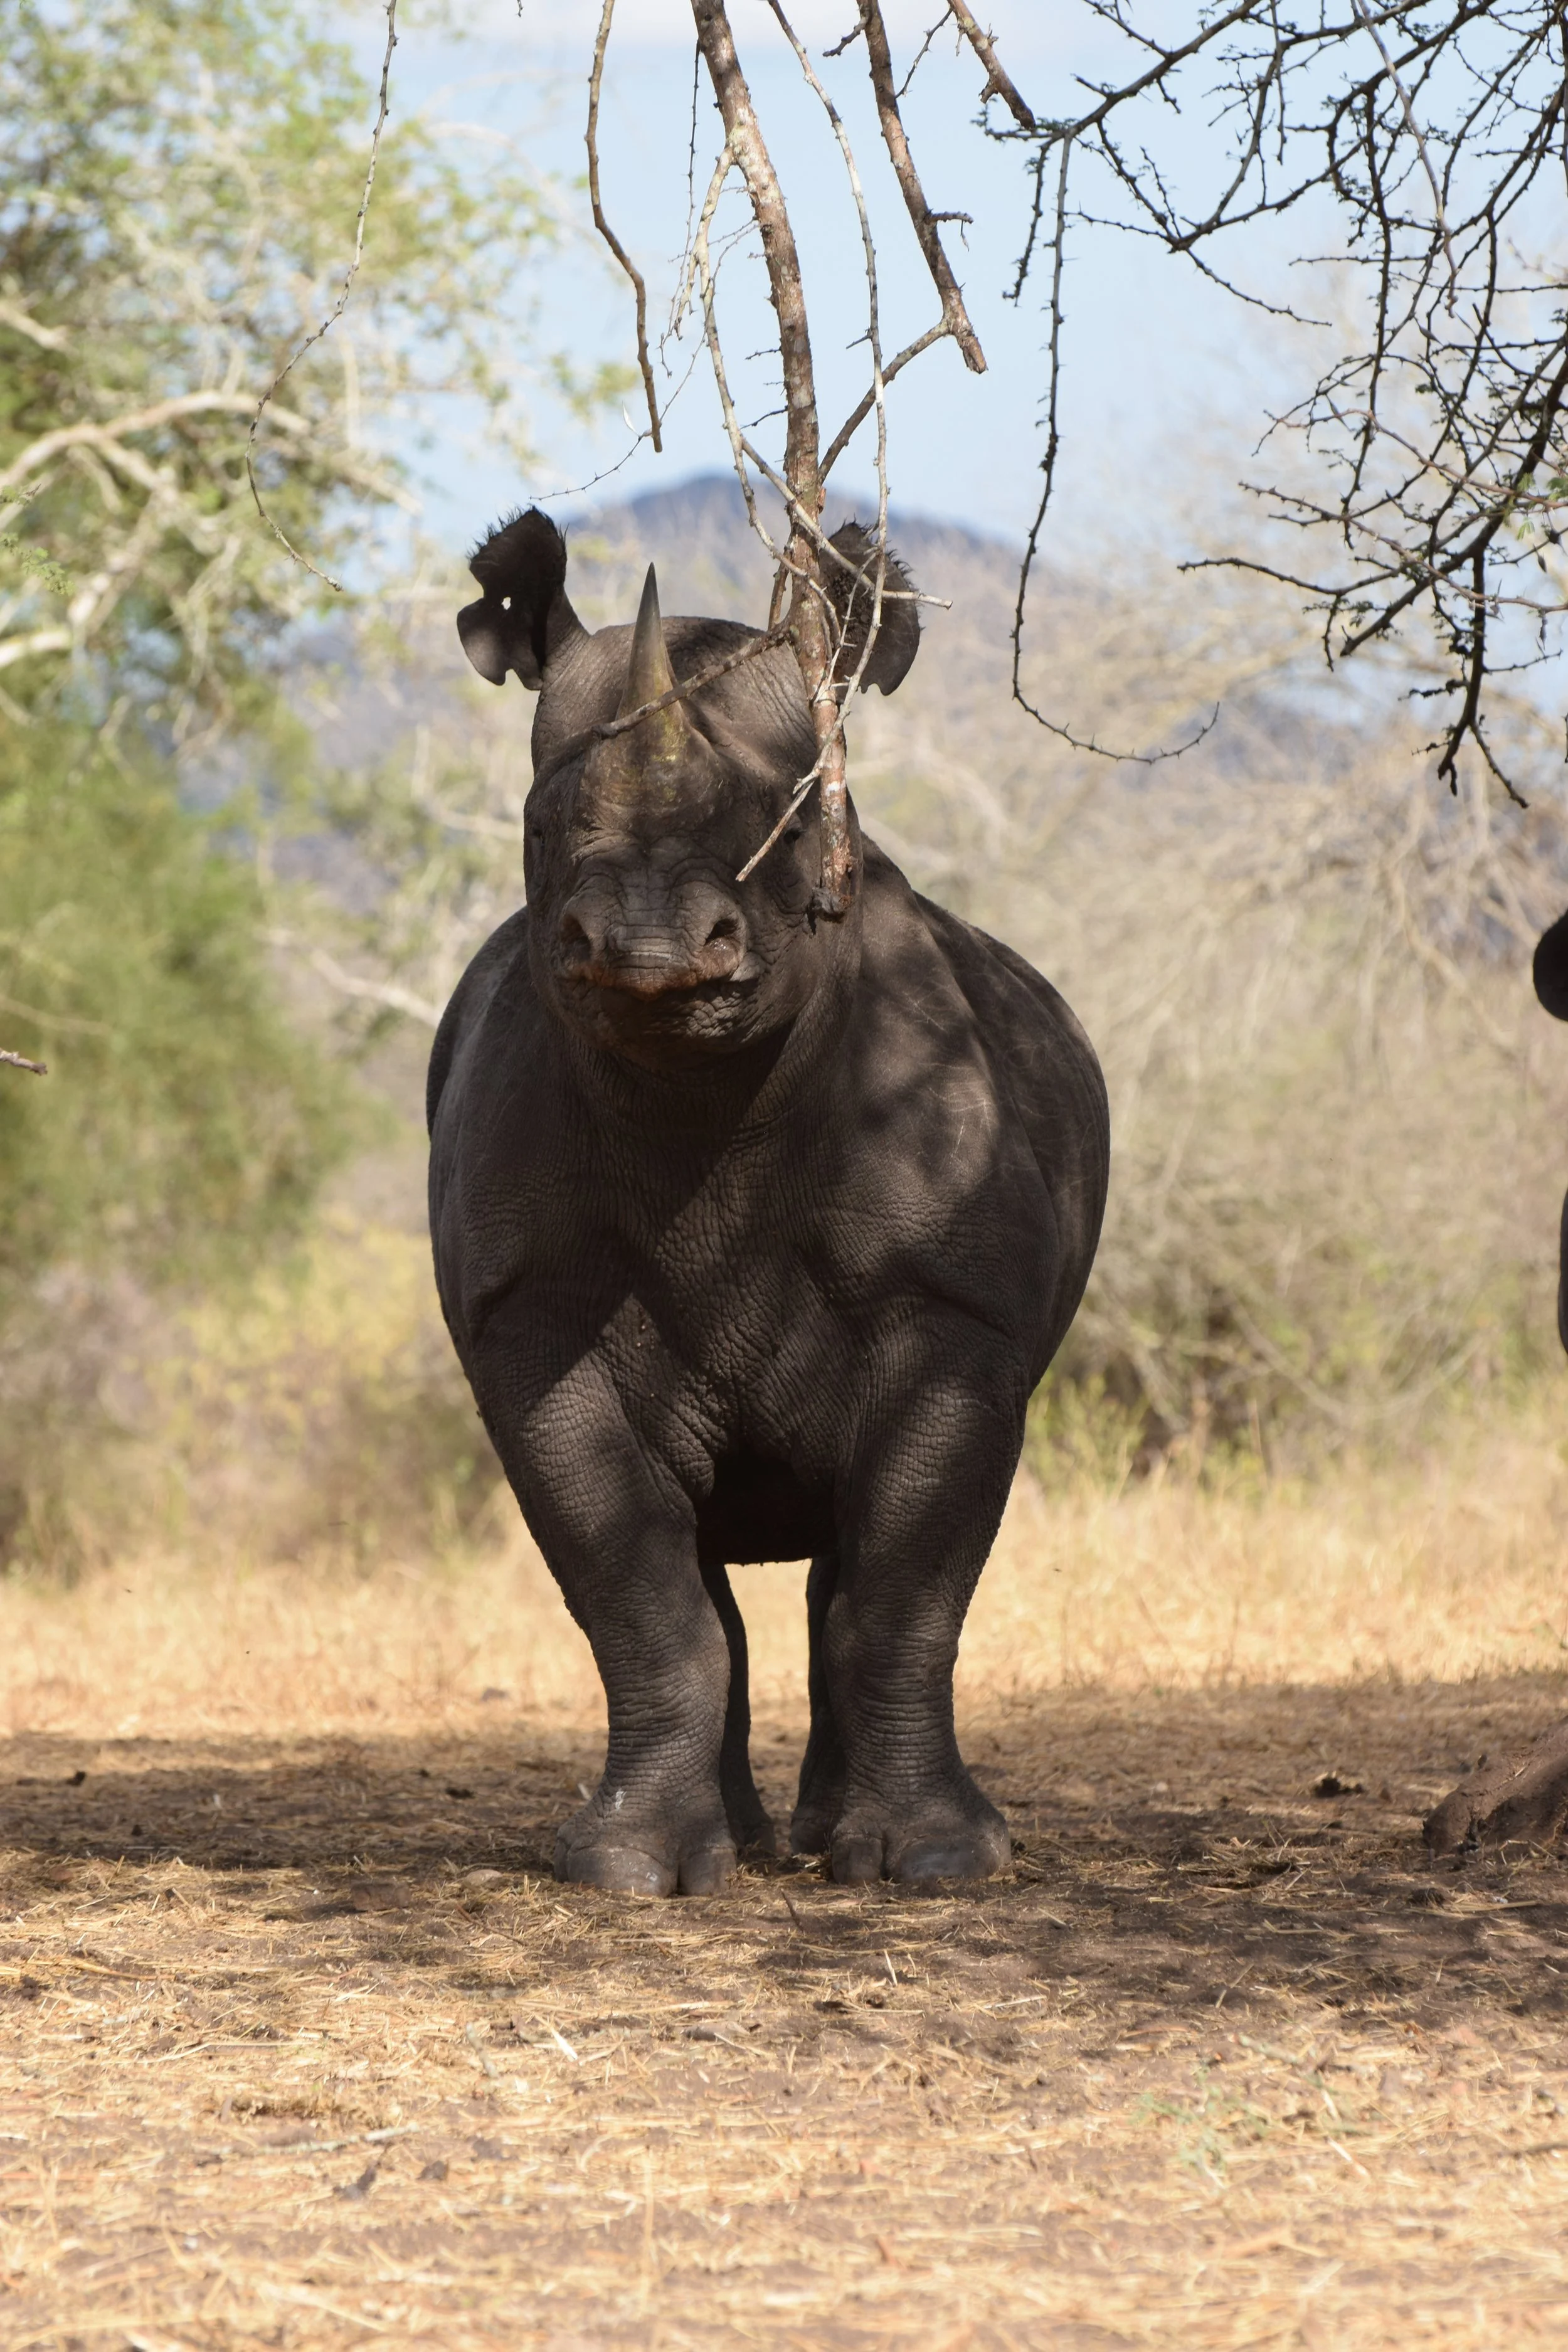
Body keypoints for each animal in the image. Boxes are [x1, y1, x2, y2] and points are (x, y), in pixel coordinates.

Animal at [427, 507, 1108, 1894]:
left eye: (789, 833)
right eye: (540, 832)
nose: (644, 947)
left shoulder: (954, 1314)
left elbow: (902, 1593)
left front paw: (938, 1865)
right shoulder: (527, 1319)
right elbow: (639, 1597)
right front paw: (627, 1873)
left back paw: (831, 1843)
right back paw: (740, 1848)